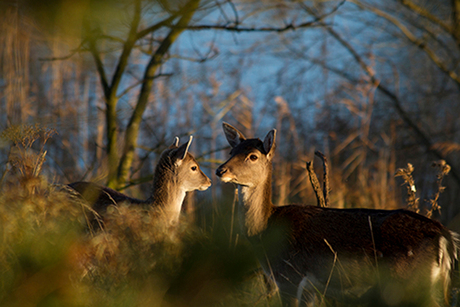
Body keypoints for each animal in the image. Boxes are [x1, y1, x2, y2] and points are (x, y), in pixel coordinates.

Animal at [217, 122, 460, 307]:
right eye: (231, 152)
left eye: (253, 156)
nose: (220, 170)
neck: (265, 232)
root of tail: (445, 236)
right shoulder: (309, 289)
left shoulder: (289, 276)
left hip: (409, 278)